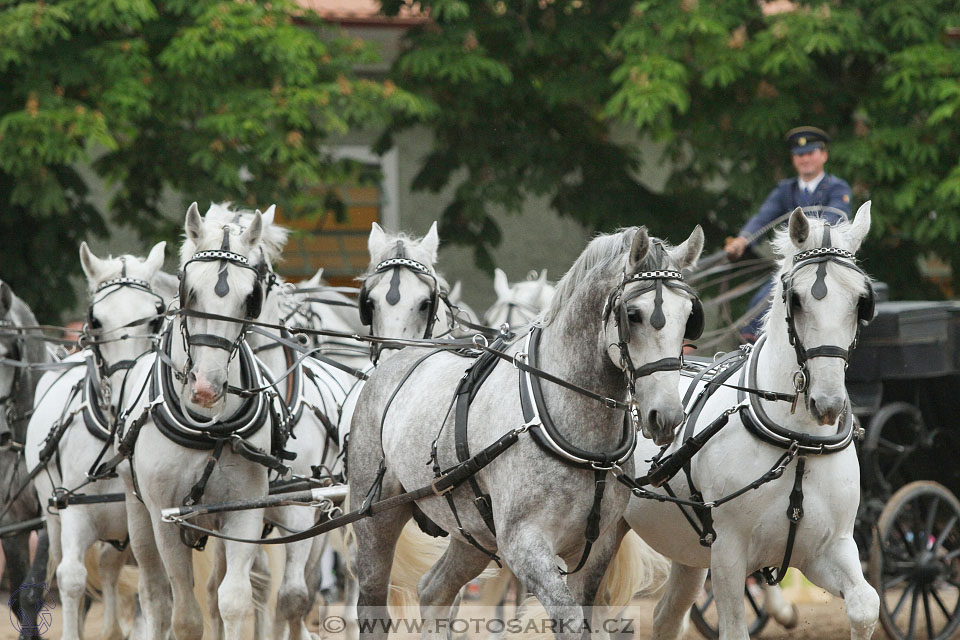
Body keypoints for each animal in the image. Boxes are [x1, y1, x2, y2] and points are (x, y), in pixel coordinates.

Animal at [24, 240, 169, 640]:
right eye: (96, 320)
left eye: (155, 317)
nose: (127, 390)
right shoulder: (75, 514)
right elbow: (72, 579)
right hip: (53, 516)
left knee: (108, 565)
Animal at [620, 206, 880, 640]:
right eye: (796, 299)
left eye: (861, 301)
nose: (827, 403)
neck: (798, 444)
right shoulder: (728, 551)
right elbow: (734, 630)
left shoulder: (829, 548)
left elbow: (866, 606)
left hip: (689, 553)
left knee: (666, 617)